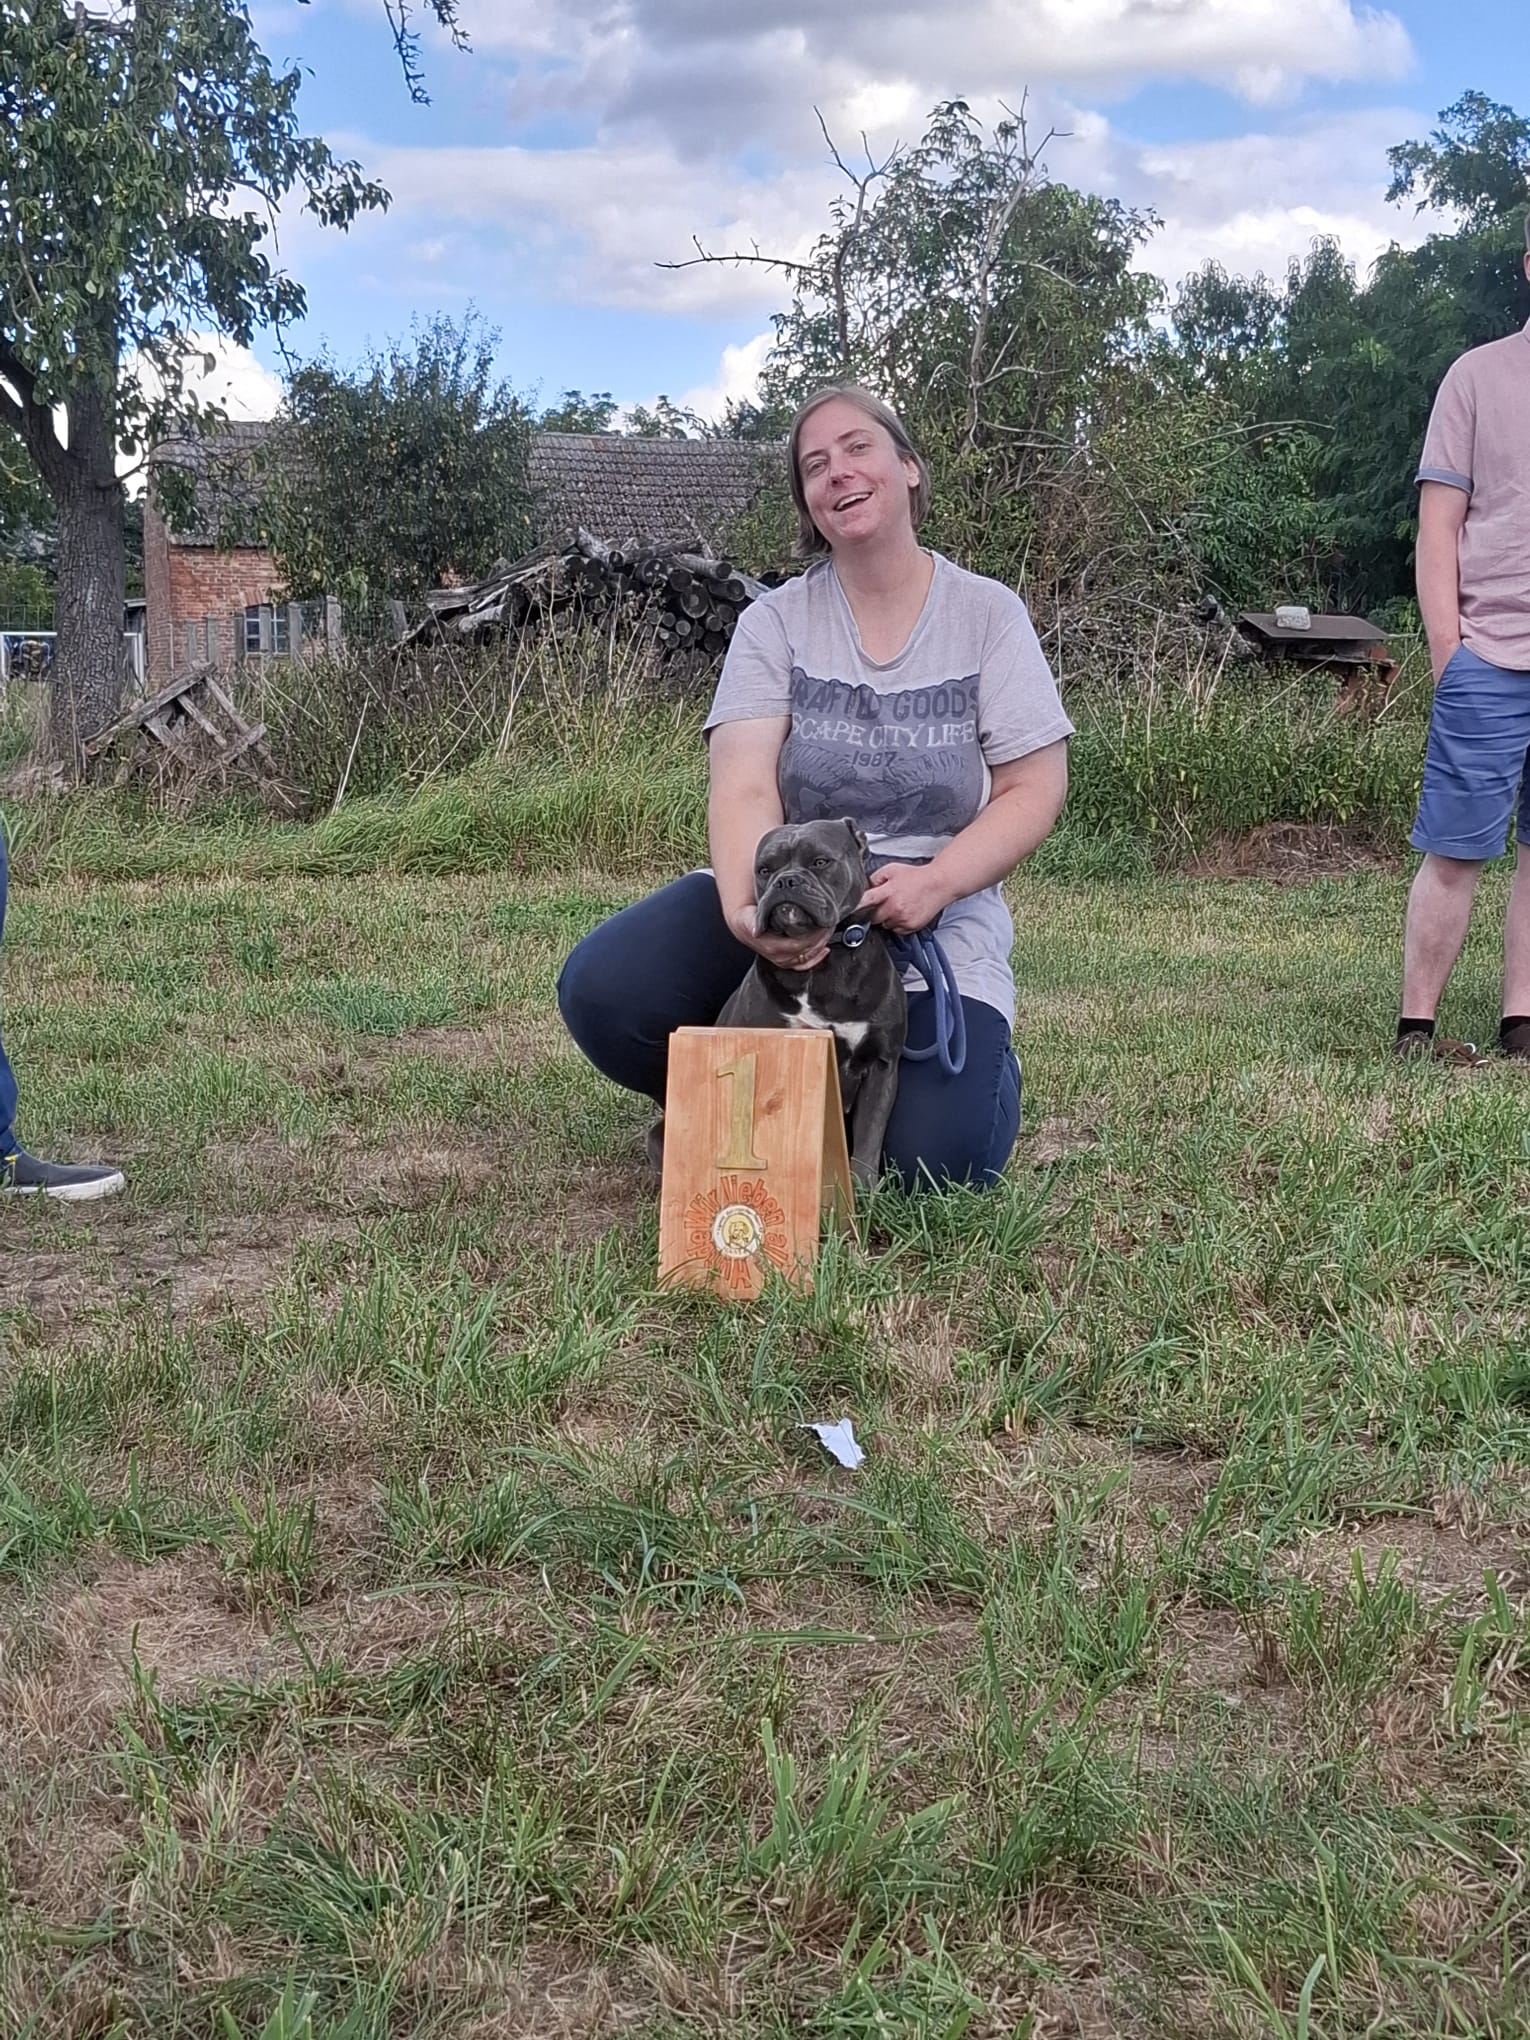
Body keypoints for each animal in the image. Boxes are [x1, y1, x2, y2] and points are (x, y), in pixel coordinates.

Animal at [717, 818, 907, 1187]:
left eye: (820, 861)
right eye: (764, 869)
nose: (786, 880)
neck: (824, 966)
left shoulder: (881, 1065)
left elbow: (869, 1139)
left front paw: (863, 1189)